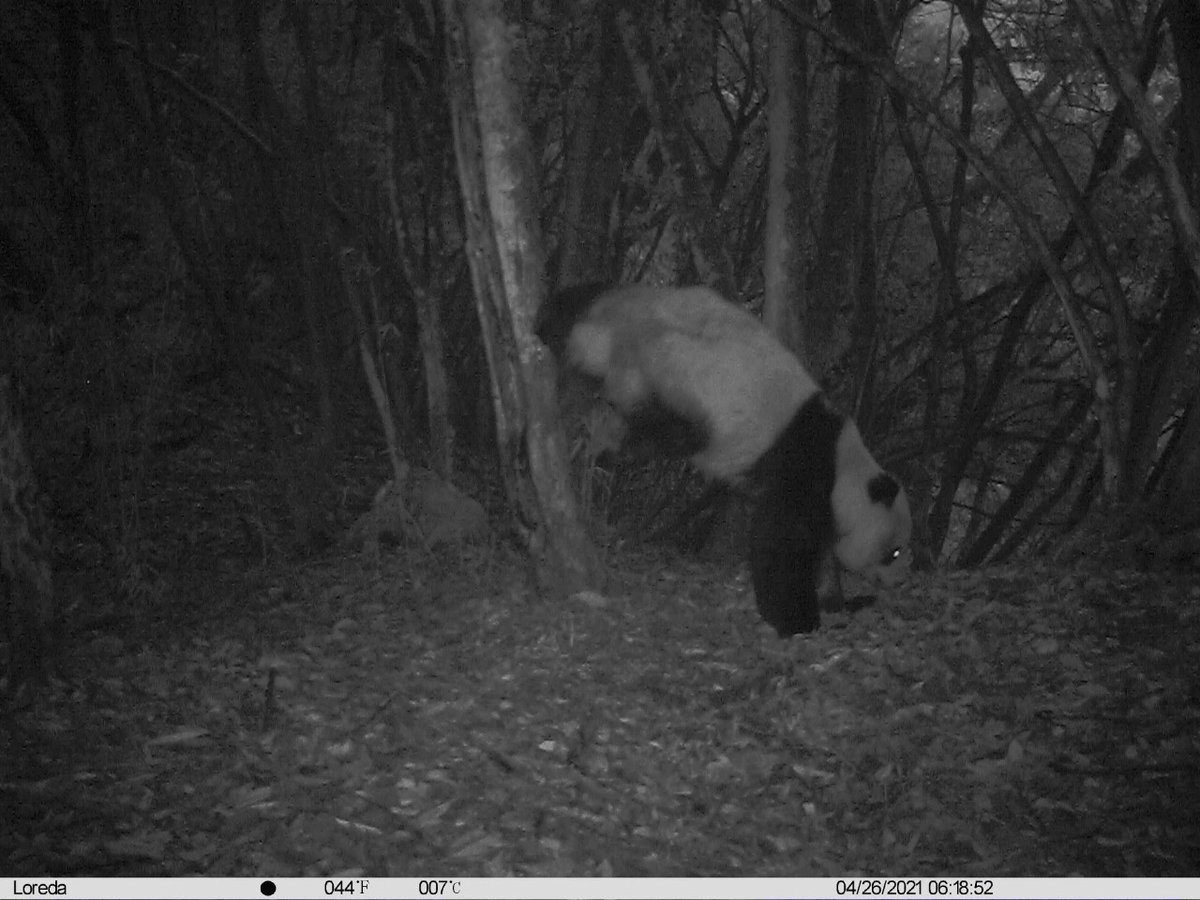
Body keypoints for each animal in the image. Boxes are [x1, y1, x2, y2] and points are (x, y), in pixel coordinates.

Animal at [536, 283, 912, 636]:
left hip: (643, 304)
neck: (844, 464)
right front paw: (799, 619)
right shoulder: (801, 471)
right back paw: (605, 447)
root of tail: (614, 330)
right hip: (667, 380)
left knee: (577, 300)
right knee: (654, 427)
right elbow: (780, 543)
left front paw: (844, 601)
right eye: (894, 552)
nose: (899, 582)